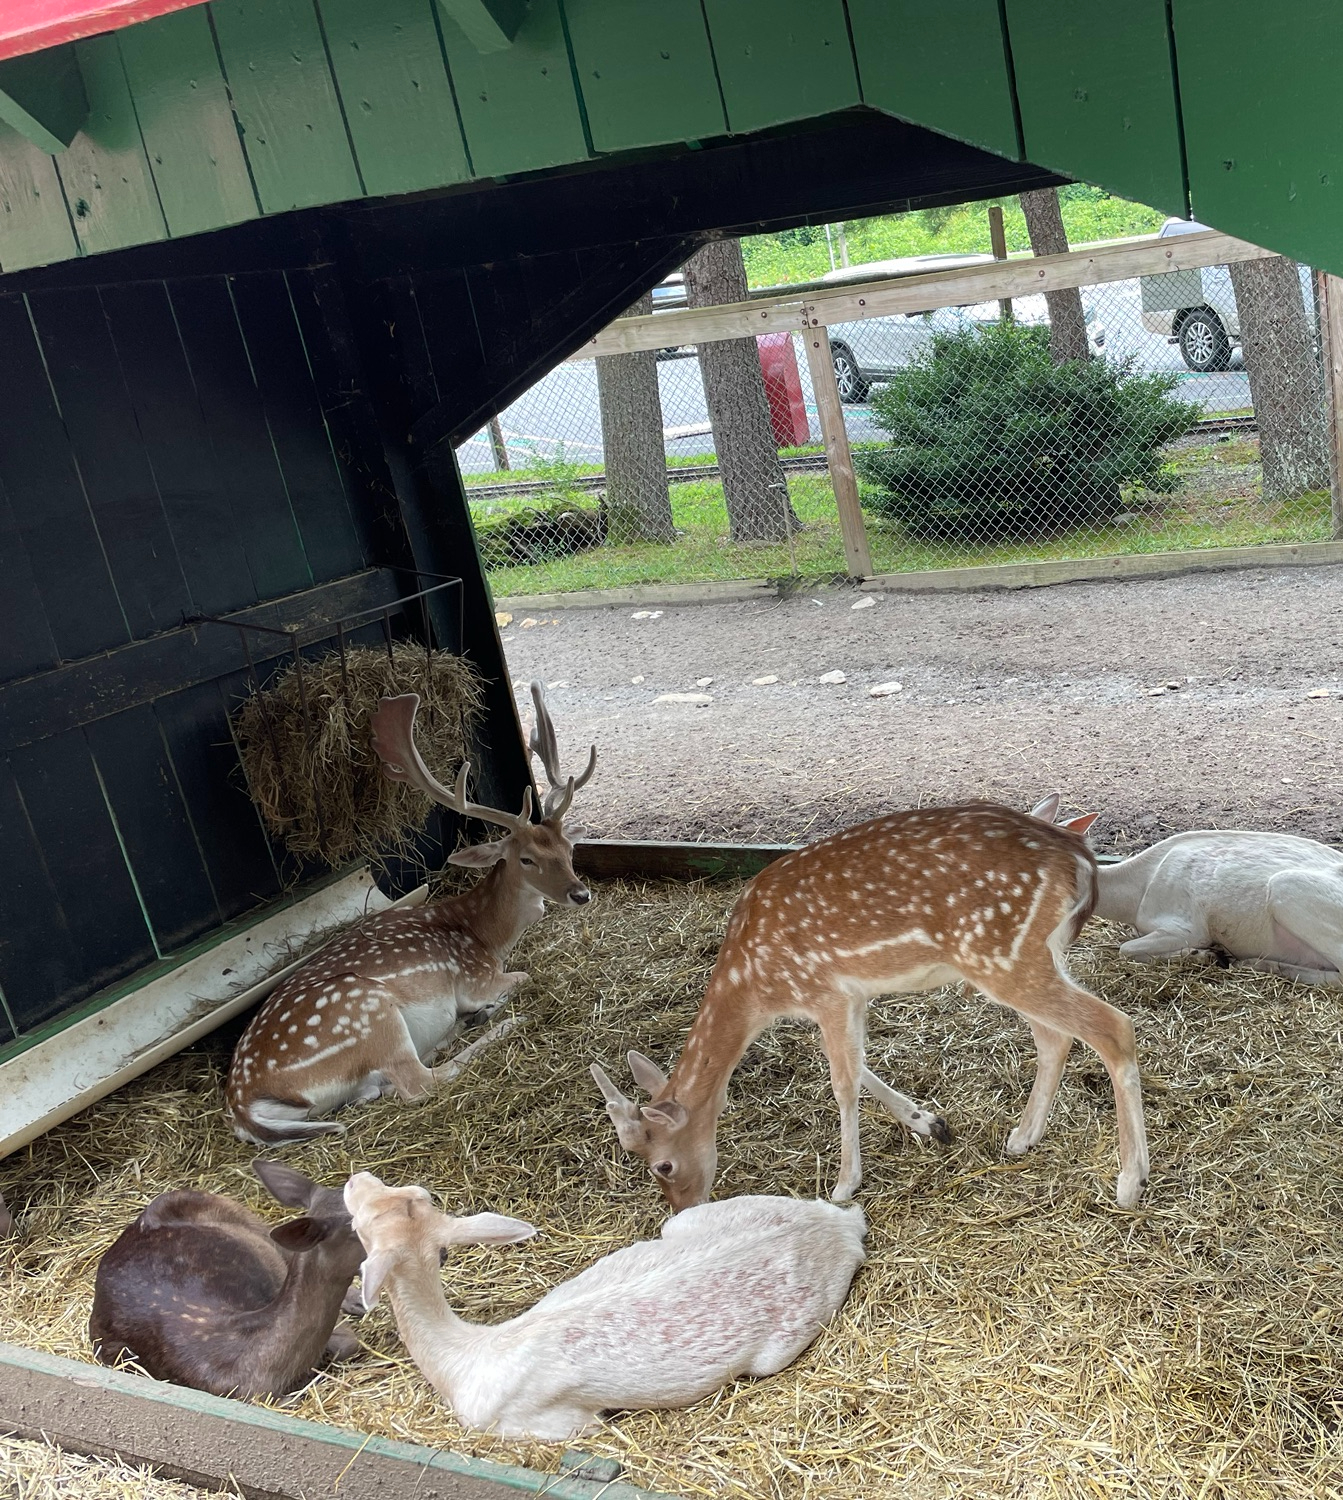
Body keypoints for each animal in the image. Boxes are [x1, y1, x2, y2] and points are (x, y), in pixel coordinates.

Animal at [226, 682, 596, 1145]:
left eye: (569, 849)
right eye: (526, 859)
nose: (580, 893)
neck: (484, 935)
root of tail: (242, 1106)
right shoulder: (474, 977)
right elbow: (525, 976)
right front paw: (492, 1006)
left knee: (379, 1089)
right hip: (367, 1012)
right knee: (419, 1083)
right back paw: (500, 1023)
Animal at [345, 1170, 866, 1442]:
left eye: (360, 1225)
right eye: (415, 1193)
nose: (355, 1178)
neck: (463, 1358)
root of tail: (841, 1224)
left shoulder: (552, 1425)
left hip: (780, 1345)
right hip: (690, 1219)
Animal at [592, 803, 1149, 1210]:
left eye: (662, 1165)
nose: (681, 1210)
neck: (755, 987)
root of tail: (1079, 855)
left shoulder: (825, 991)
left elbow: (842, 1082)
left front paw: (843, 1185)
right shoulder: (853, 995)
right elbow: (861, 1067)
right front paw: (930, 1123)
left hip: (1000, 954)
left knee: (1114, 1026)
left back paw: (1129, 1181)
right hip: (1028, 955)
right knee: (1056, 1036)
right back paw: (1023, 1137)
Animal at [1031, 794, 1342, 985]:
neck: (1133, 897)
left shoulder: (1185, 925)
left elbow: (1125, 948)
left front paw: (1204, 954)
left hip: (1288, 889)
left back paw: (1255, 964)